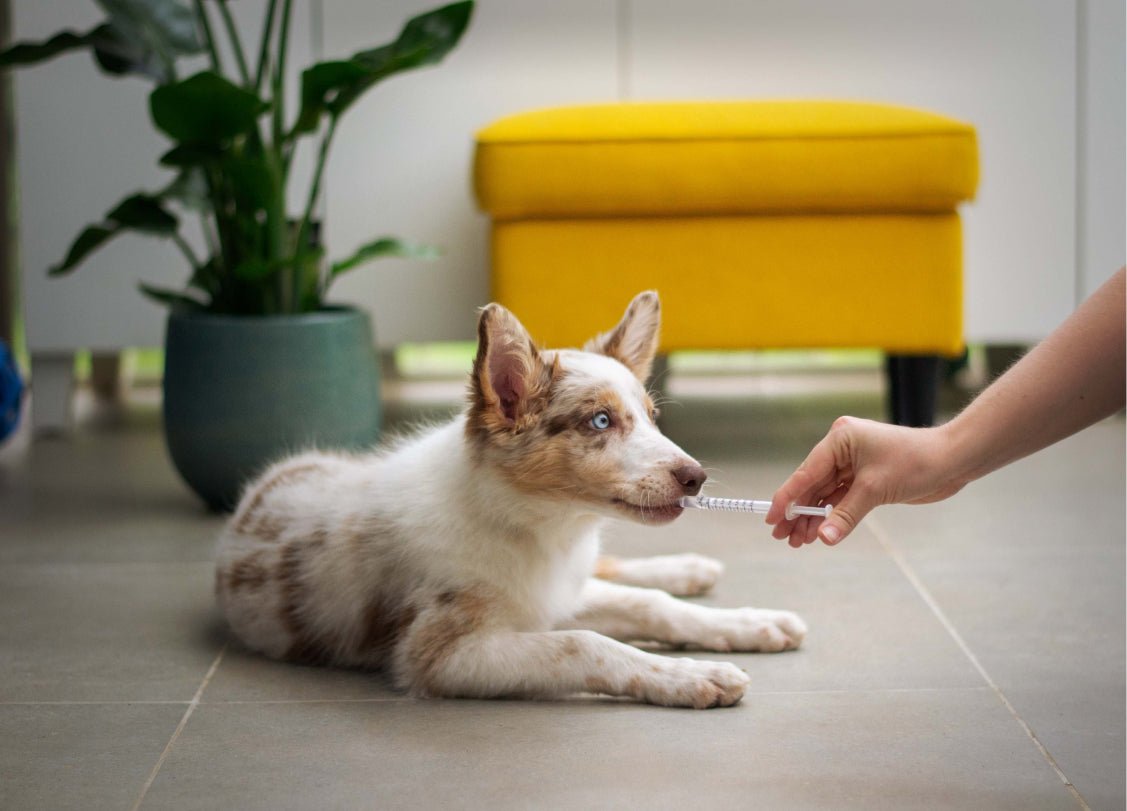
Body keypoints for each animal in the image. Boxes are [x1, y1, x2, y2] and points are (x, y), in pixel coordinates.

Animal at [215, 292, 806, 711]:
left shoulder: (555, 591)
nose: (696, 479)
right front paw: (693, 676)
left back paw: (690, 570)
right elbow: (585, 643)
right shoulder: (441, 655)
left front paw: (749, 625)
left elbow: (649, 605)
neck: (535, 526)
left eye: (652, 418)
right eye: (600, 421)